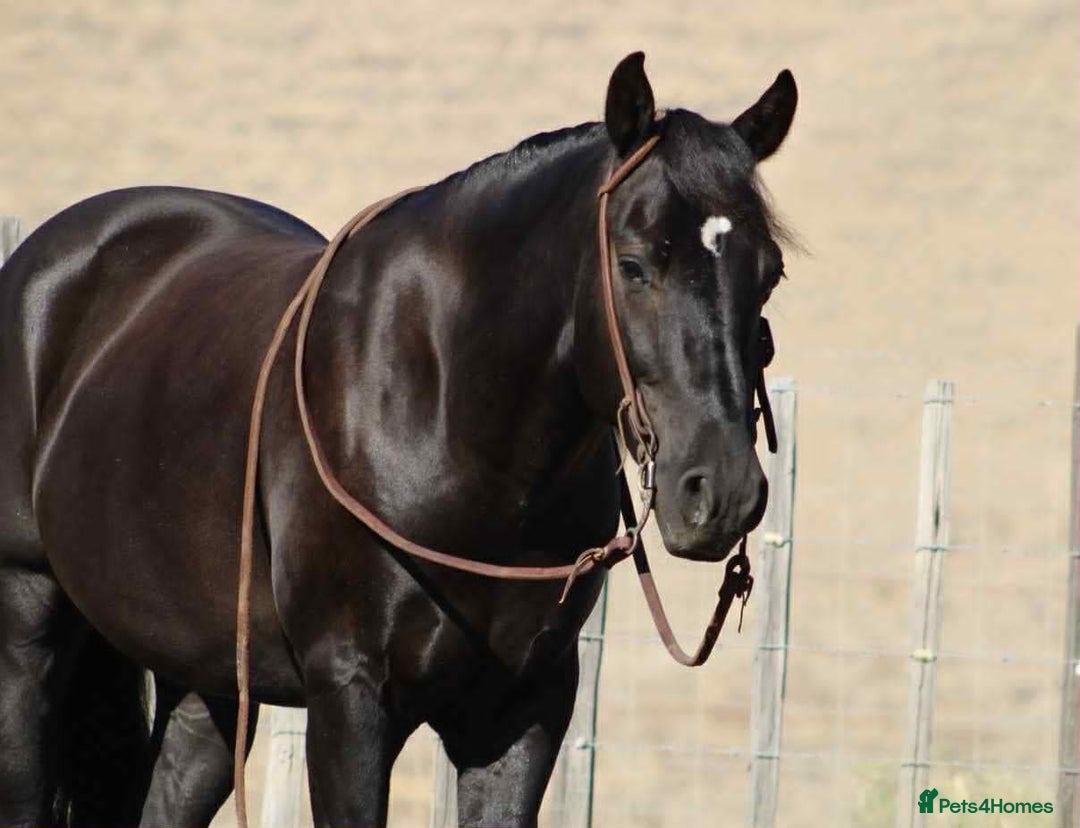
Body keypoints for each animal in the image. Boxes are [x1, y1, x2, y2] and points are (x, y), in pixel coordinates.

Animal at [0, 52, 796, 827]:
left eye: (770, 273)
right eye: (633, 265)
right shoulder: (349, 700)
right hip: (28, 623)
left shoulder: (523, 712)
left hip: (210, 680)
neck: (448, 425)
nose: (721, 491)